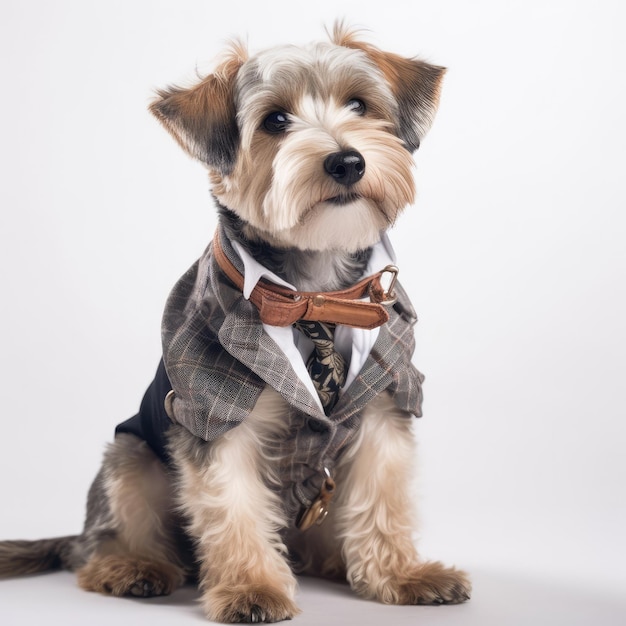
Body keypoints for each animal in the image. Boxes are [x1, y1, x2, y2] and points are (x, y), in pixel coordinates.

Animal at [0, 23, 468, 620]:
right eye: (275, 121)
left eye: (360, 105)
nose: (347, 162)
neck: (314, 292)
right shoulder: (214, 414)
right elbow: (232, 505)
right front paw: (252, 588)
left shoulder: (388, 400)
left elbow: (383, 494)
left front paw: (402, 574)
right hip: (131, 455)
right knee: (109, 532)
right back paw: (131, 566)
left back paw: (331, 559)